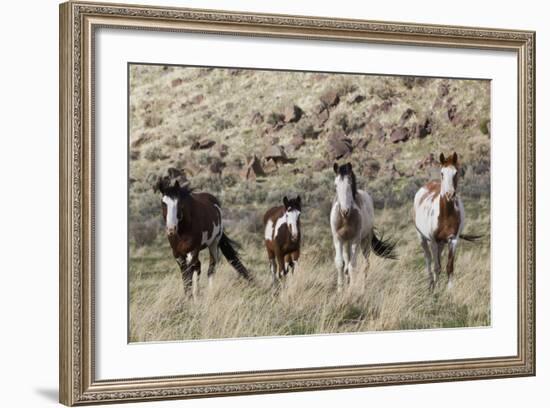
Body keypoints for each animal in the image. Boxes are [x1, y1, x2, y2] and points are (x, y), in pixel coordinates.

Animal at [414, 152, 478, 290]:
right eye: (442, 173)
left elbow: (449, 266)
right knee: (428, 260)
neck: (446, 215)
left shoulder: (453, 240)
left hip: (442, 243)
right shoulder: (433, 241)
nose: (449, 194)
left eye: (456, 172)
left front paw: (449, 289)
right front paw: (436, 289)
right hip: (422, 238)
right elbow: (436, 266)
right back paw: (431, 284)